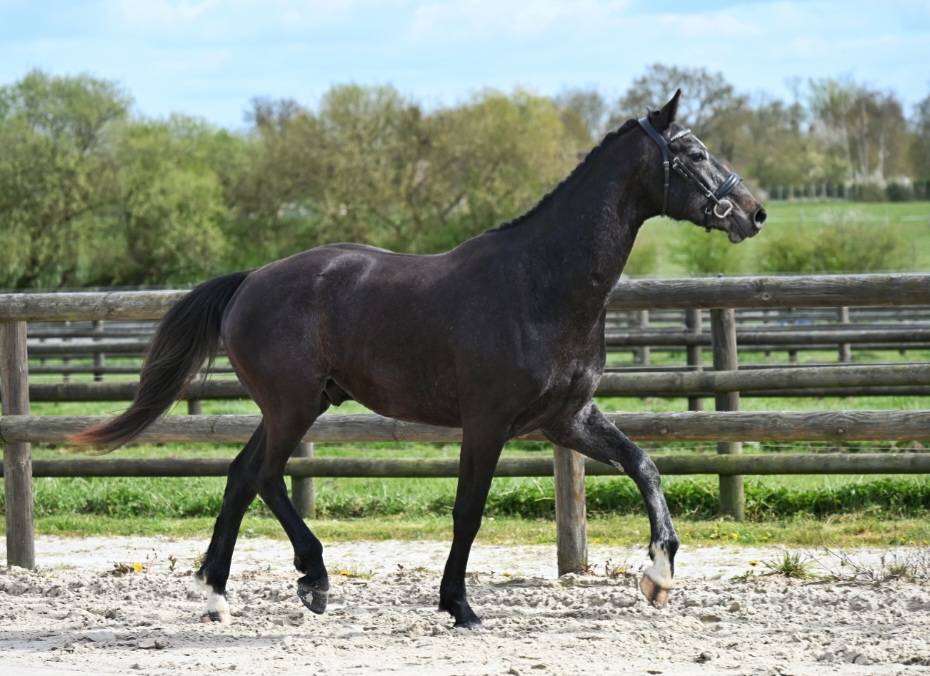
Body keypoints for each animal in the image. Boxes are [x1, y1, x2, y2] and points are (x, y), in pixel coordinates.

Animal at [71, 90, 765, 627]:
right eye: (693, 153)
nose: (753, 213)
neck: (541, 283)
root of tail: (250, 282)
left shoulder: (566, 419)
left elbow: (644, 465)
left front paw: (659, 574)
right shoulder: (487, 422)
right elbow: (467, 511)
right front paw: (459, 605)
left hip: (299, 404)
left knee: (242, 476)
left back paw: (217, 595)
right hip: (293, 405)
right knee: (265, 477)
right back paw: (313, 578)